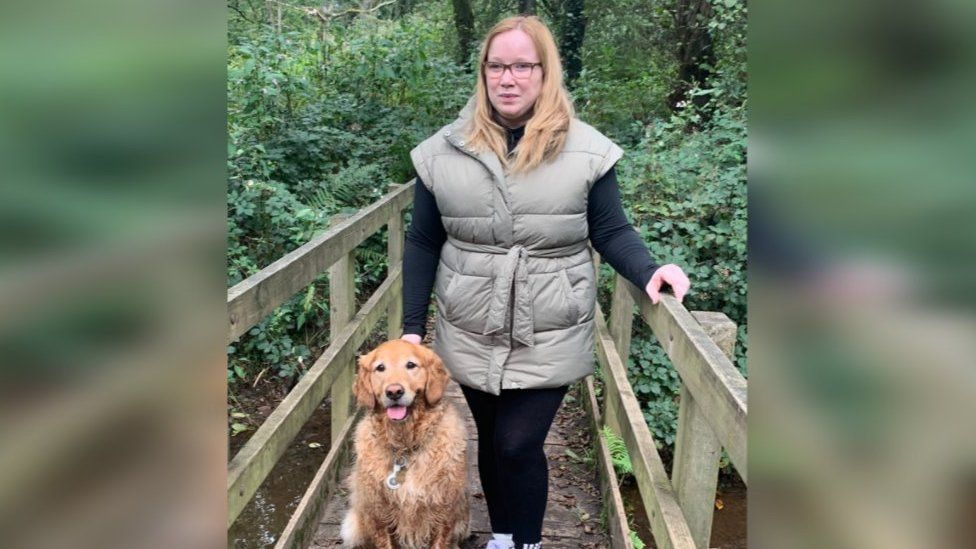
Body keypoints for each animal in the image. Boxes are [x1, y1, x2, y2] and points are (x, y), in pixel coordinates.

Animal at [340, 340, 468, 544]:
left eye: (410, 365)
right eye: (380, 368)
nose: (394, 392)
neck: (405, 446)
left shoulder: (445, 510)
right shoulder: (379, 513)